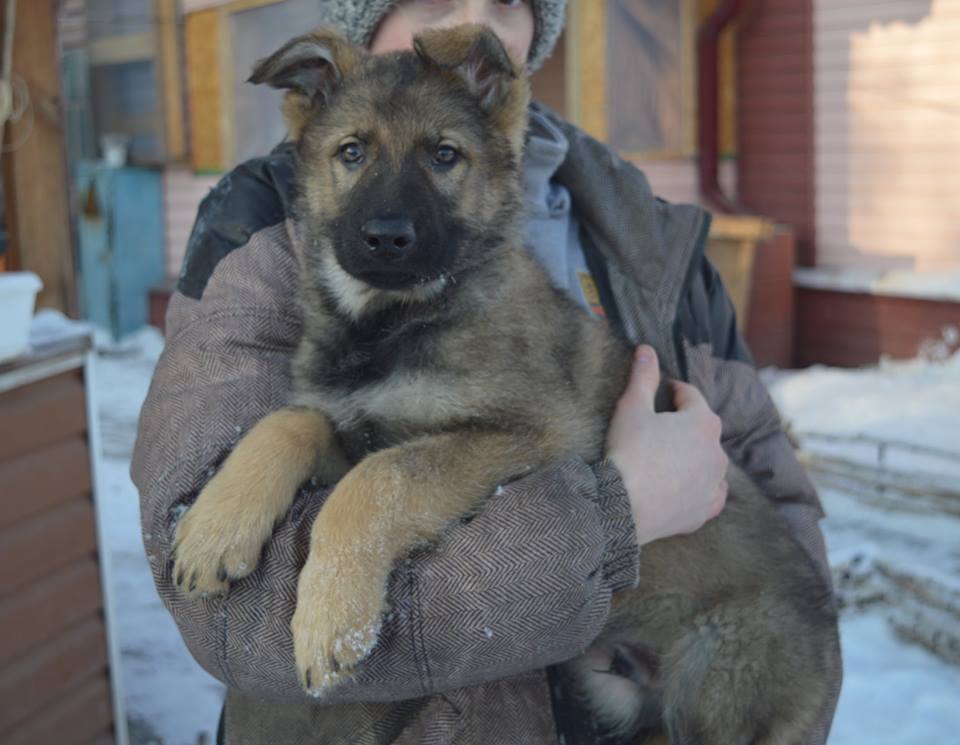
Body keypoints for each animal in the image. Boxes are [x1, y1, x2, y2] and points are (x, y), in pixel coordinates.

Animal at [174, 26, 840, 740]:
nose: (387, 238)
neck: (391, 322)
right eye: (351, 152)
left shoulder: (534, 434)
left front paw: (331, 620)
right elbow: (290, 421)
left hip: (719, 679)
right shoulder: (353, 420)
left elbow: (381, 479)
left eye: (444, 155)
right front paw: (215, 526)